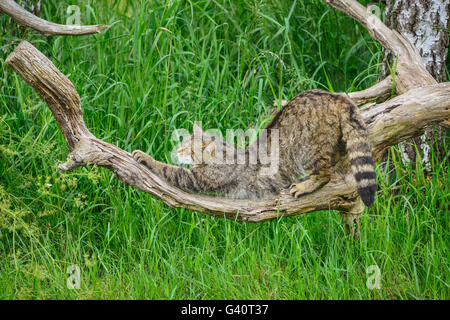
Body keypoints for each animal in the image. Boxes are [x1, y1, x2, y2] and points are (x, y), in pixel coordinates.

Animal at [133, 89, 376, 206]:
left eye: (186, 148)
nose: (177, 151)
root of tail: (336, 96)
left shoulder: (198, 178)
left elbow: (170, 170)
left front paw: (147, 157)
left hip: (309, 149)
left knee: (324, 173)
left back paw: (308, 184)